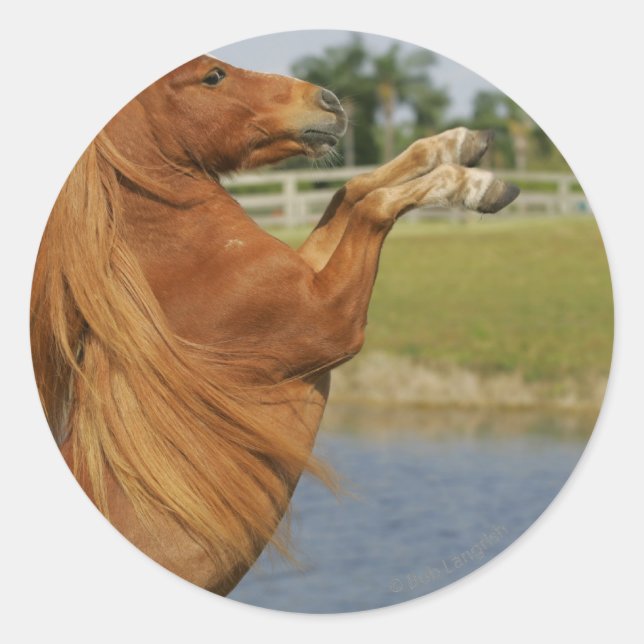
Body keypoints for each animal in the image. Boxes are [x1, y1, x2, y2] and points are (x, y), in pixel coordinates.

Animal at [30, 54, 519, 595]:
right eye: (213, 75)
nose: (330, 101)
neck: (179, 261)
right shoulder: (332, 321)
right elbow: (372, 205)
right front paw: (479, 185)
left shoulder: (309, 275)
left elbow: (351, 189)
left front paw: (462, 142)